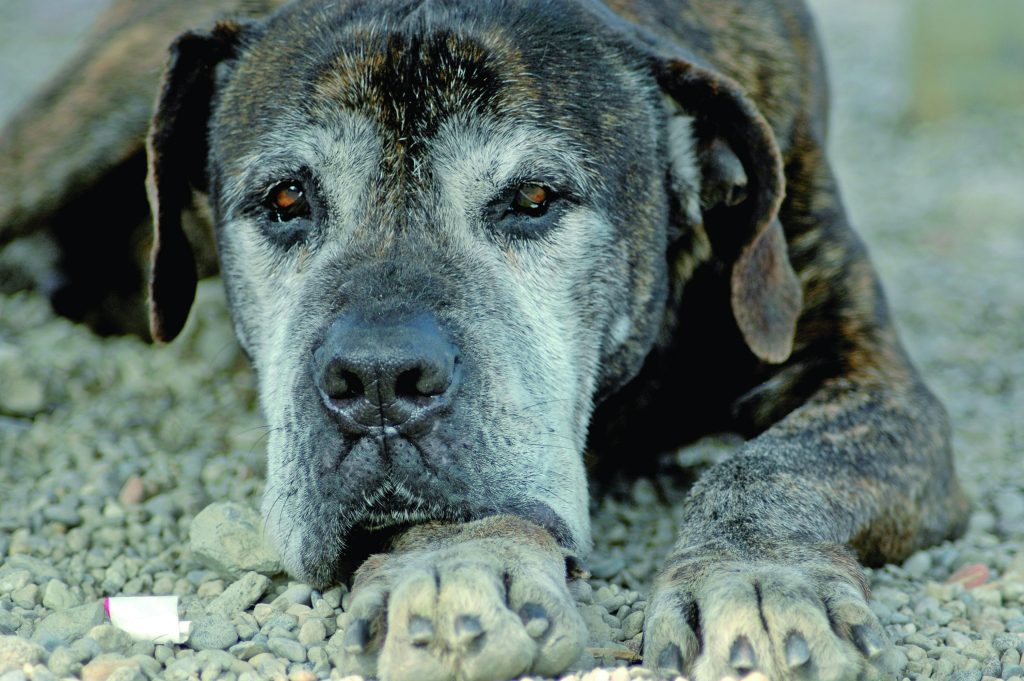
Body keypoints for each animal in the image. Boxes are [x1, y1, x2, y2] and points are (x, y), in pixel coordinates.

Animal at [2, 1, 974, 679]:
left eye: (534, 198)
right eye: (284, 199)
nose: (378, 380)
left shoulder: (870, 369)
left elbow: (782, 462)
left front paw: (760, 582)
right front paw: (461, 562)